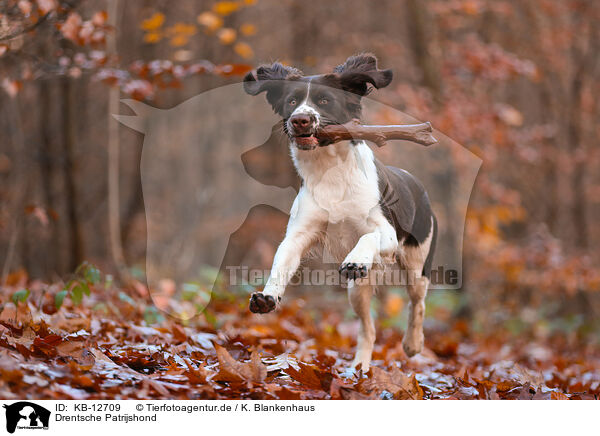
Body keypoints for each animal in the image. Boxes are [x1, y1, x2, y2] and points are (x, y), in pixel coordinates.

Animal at [243, 52, 436, 370]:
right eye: (291, 101)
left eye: (324, 100)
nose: (300, 120)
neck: (330, 170)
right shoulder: (298, 235)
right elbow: (281, 262)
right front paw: (268, 296)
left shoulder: (386, 232)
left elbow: (368, 236)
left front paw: (356, 259)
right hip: (357, 291)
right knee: (368, 329)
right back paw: (360, 368)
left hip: (417, 264)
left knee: (417, 303)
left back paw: (412, 343)